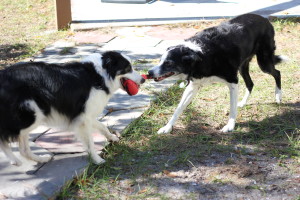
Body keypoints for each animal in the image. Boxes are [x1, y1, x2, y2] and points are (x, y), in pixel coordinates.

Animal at [0, 50, 145, 165]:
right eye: (128, 68)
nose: (143, 80)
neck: (100, 75)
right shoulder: (83, 119)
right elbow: (90, 142)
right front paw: (97, 160)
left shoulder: (85, 115)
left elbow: (102, 126)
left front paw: (112, 138)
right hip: (32, 115)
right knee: (6, 137)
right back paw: (15, 160)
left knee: (23, 149)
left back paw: (41, 159)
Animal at [148, 13, 286, 134]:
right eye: (160, 60)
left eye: (168, 63)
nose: (149, 72)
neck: (201, 55)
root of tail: (265, 19)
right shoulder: (193, 86)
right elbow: (178, 108)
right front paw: (167, 127)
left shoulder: (233, 82)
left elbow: (232, 107)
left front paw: (230, 126)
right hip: (242, 66)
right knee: (250, 83)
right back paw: (243, 102)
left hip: (264, 62)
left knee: (277, 73)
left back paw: (278, 96)